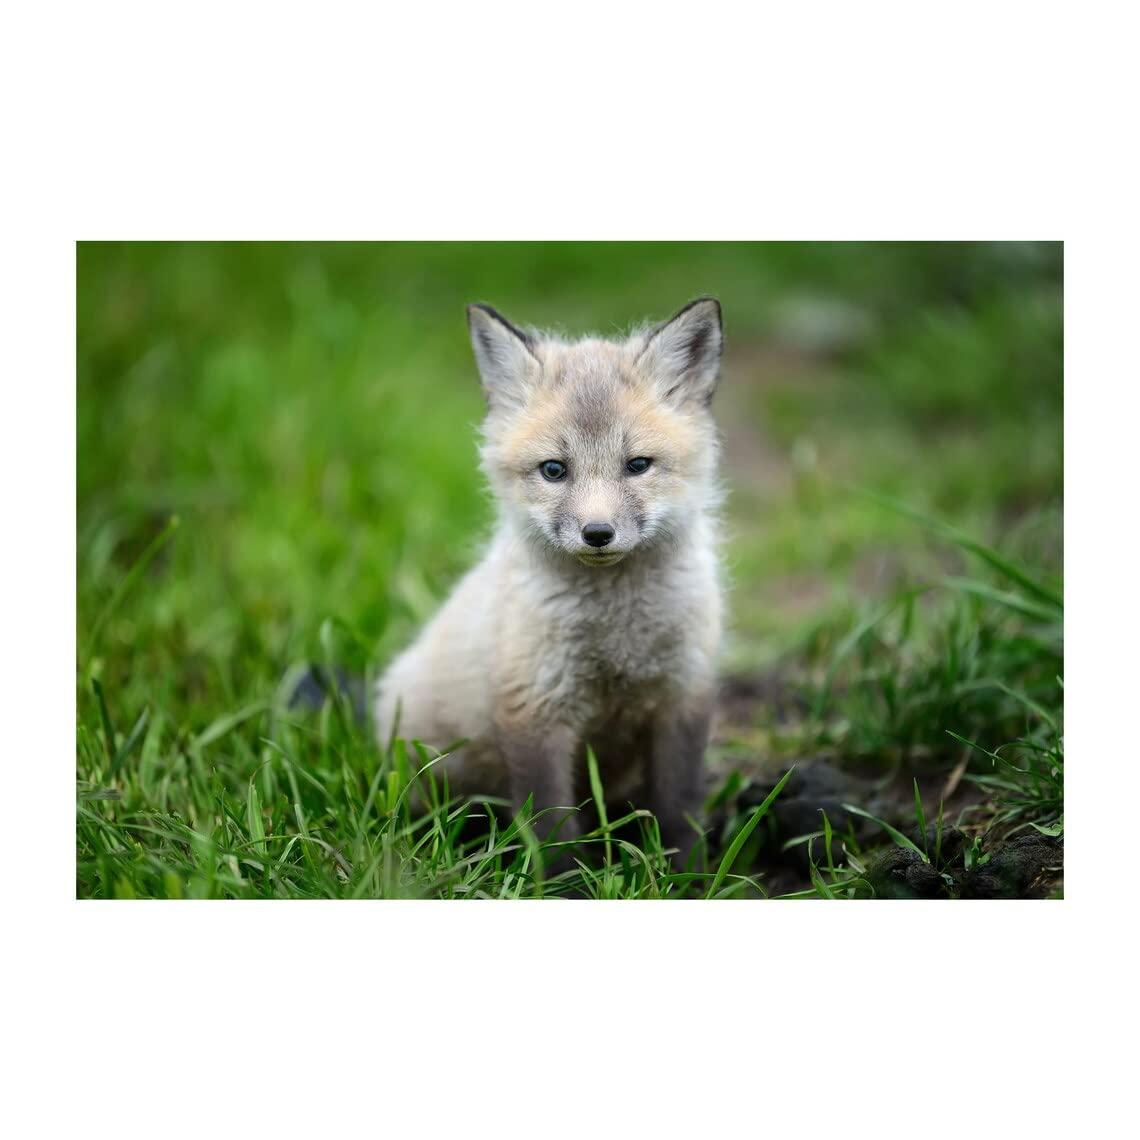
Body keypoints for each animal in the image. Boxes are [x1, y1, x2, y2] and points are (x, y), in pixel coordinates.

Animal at [374, 296, 726, 868]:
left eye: (638, 465)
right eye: (554, 470)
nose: (598, 533)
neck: (616, 633)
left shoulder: (683, 696)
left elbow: (679, 808)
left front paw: (689, 876)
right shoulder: (535, 709)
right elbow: (553, 825)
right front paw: (563, 883)